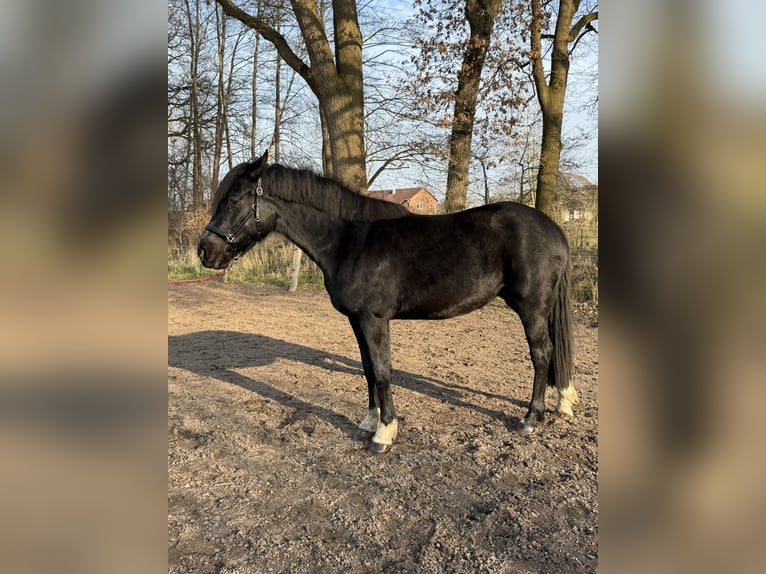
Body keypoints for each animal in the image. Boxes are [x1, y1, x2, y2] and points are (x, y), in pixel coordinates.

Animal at [198, 152, 576, 454]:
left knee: (542, 354)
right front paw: (370, 421)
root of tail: (554, 230)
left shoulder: (374, 318)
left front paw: (384, 434)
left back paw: (531, 418)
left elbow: (382, 371)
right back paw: (563, 403)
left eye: (233, 201)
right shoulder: (356, 320)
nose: (205, 251)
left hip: (532, 307)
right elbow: (367, 368)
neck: (349, 240)